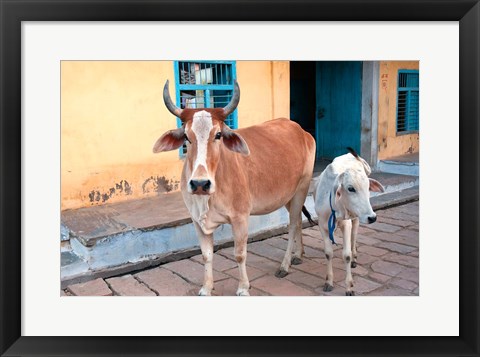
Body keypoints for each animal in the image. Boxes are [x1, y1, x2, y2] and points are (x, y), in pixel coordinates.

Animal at [154, 80, 316, 294]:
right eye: (187, 137)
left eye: (218, 135)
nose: (200, 184)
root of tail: (301, 130)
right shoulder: (196, 221)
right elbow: (206, 255)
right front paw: (206, 288)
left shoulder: (240, 218)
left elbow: (239, 254)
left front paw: (243, 288)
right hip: (288, 195)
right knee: (297, 221)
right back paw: (299, 255)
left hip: (302, 189)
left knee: (291, 225)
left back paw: (285, 265)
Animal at [314, 147, 384, 294]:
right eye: (351, 188)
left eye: (368, 187)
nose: (372, 217)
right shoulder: (322, 225)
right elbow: (328, 253)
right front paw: (329, 281)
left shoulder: (346, 223)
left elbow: (346, 255)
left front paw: (349, 287)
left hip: (356, 218)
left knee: (354, 236)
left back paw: (354, 256)